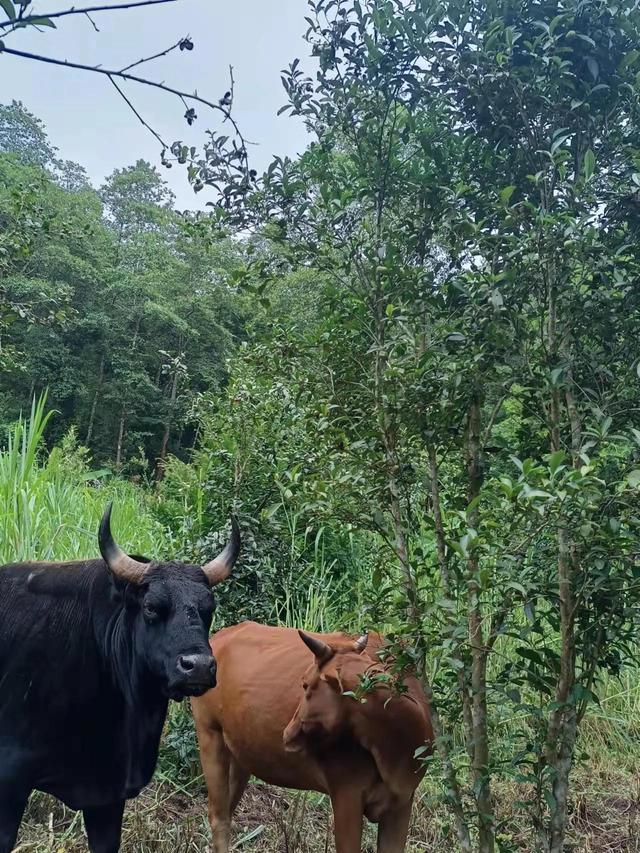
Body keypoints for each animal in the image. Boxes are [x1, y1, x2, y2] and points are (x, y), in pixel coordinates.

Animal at [192, 620, 432, 852]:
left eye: (306, 683)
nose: (288, 733)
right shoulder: (346, 793)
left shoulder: (402, 801)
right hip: (209, 734)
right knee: (219, 817)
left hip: (241, 755)